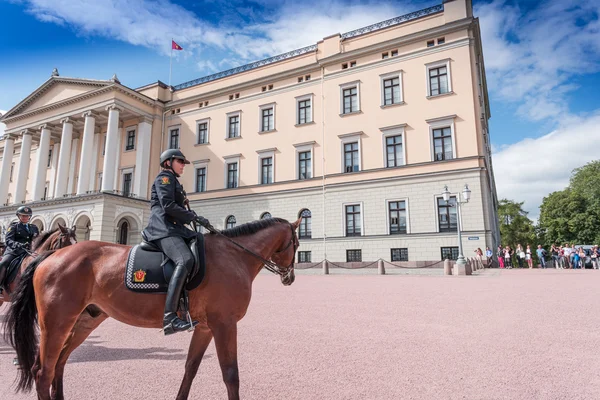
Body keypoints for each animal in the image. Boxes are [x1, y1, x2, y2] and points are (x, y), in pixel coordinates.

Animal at [4, 217, 300, 400]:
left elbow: (190, 368)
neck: (234, 255)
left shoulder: (205, 327)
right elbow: (231, 374)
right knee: (43, 372)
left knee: (59, 363)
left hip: (83, 322)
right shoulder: (224, 324)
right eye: (296, 243)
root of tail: (50, 255)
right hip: (56, 323)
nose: (290, 277)